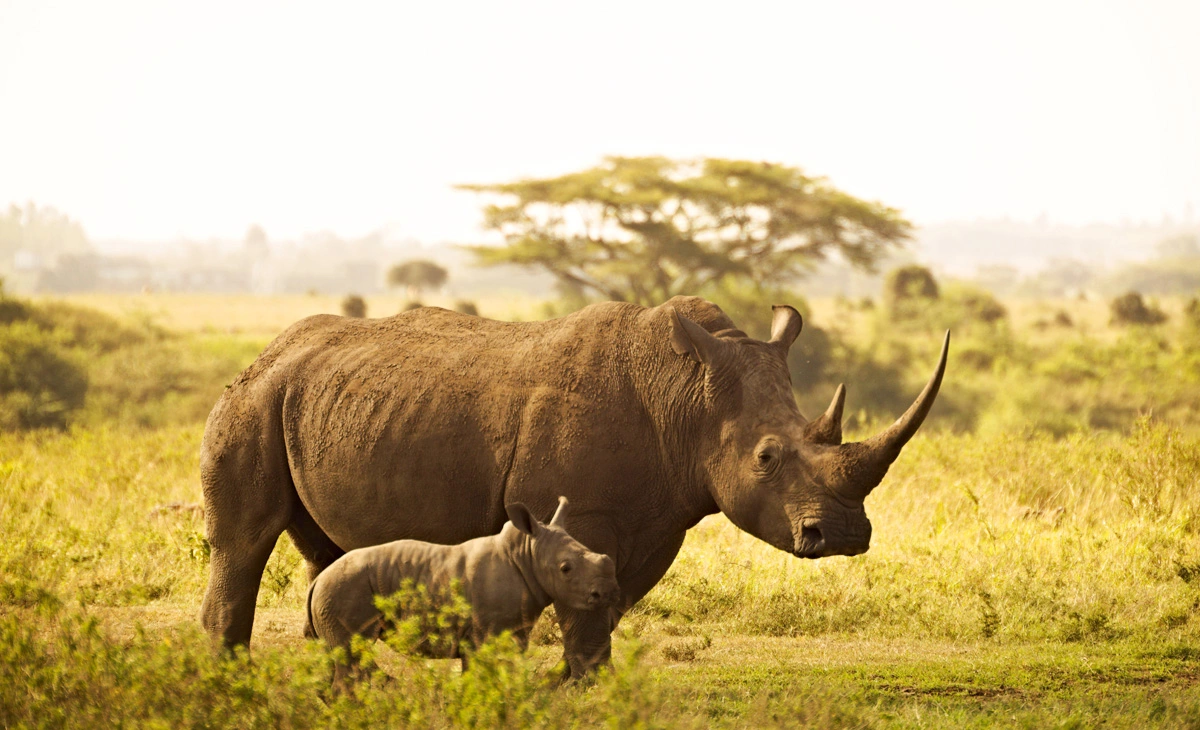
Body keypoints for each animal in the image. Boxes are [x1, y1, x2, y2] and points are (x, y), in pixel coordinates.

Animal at [305, 497, 618, 679]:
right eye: (566, 569)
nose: (608, 593)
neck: (526, 554)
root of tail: (317, 582)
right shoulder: (487, 635)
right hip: (342, 590)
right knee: (351, 657)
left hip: (334, 593)